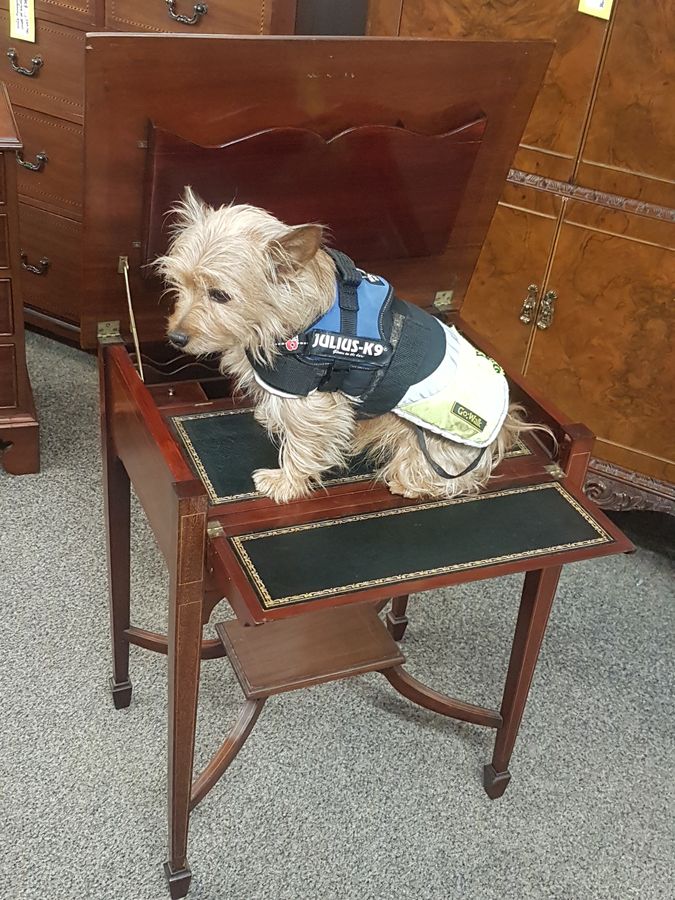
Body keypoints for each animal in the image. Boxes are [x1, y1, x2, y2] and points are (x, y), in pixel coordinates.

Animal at [158, 188, 540, 506]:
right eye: (178, 283)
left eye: (219, 295)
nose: (175, 337)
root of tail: (506, 424)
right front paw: (272, 418)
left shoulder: (315, 401)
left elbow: (304, 440)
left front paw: (286, 483)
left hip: (436, 443)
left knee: (447, 475)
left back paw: (414, 482)